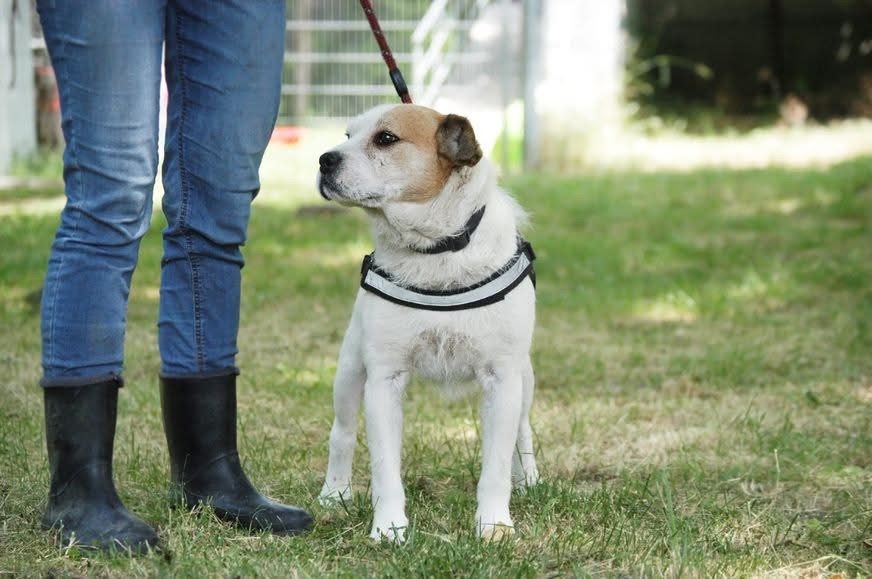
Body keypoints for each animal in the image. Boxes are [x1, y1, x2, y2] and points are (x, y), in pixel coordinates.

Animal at [316, 104, 539, 542]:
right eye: (348, 135)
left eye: (385, 138)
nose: (323, 160)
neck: (436, 250)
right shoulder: (383, 380)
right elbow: (385, 470)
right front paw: (389, 528)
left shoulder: (503, 380)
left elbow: (496, 467)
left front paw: (494, 524)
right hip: (349, 373)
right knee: (342, 434)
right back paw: (335, 494)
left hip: (525, 378)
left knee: (523, 431)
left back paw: (530, 480)